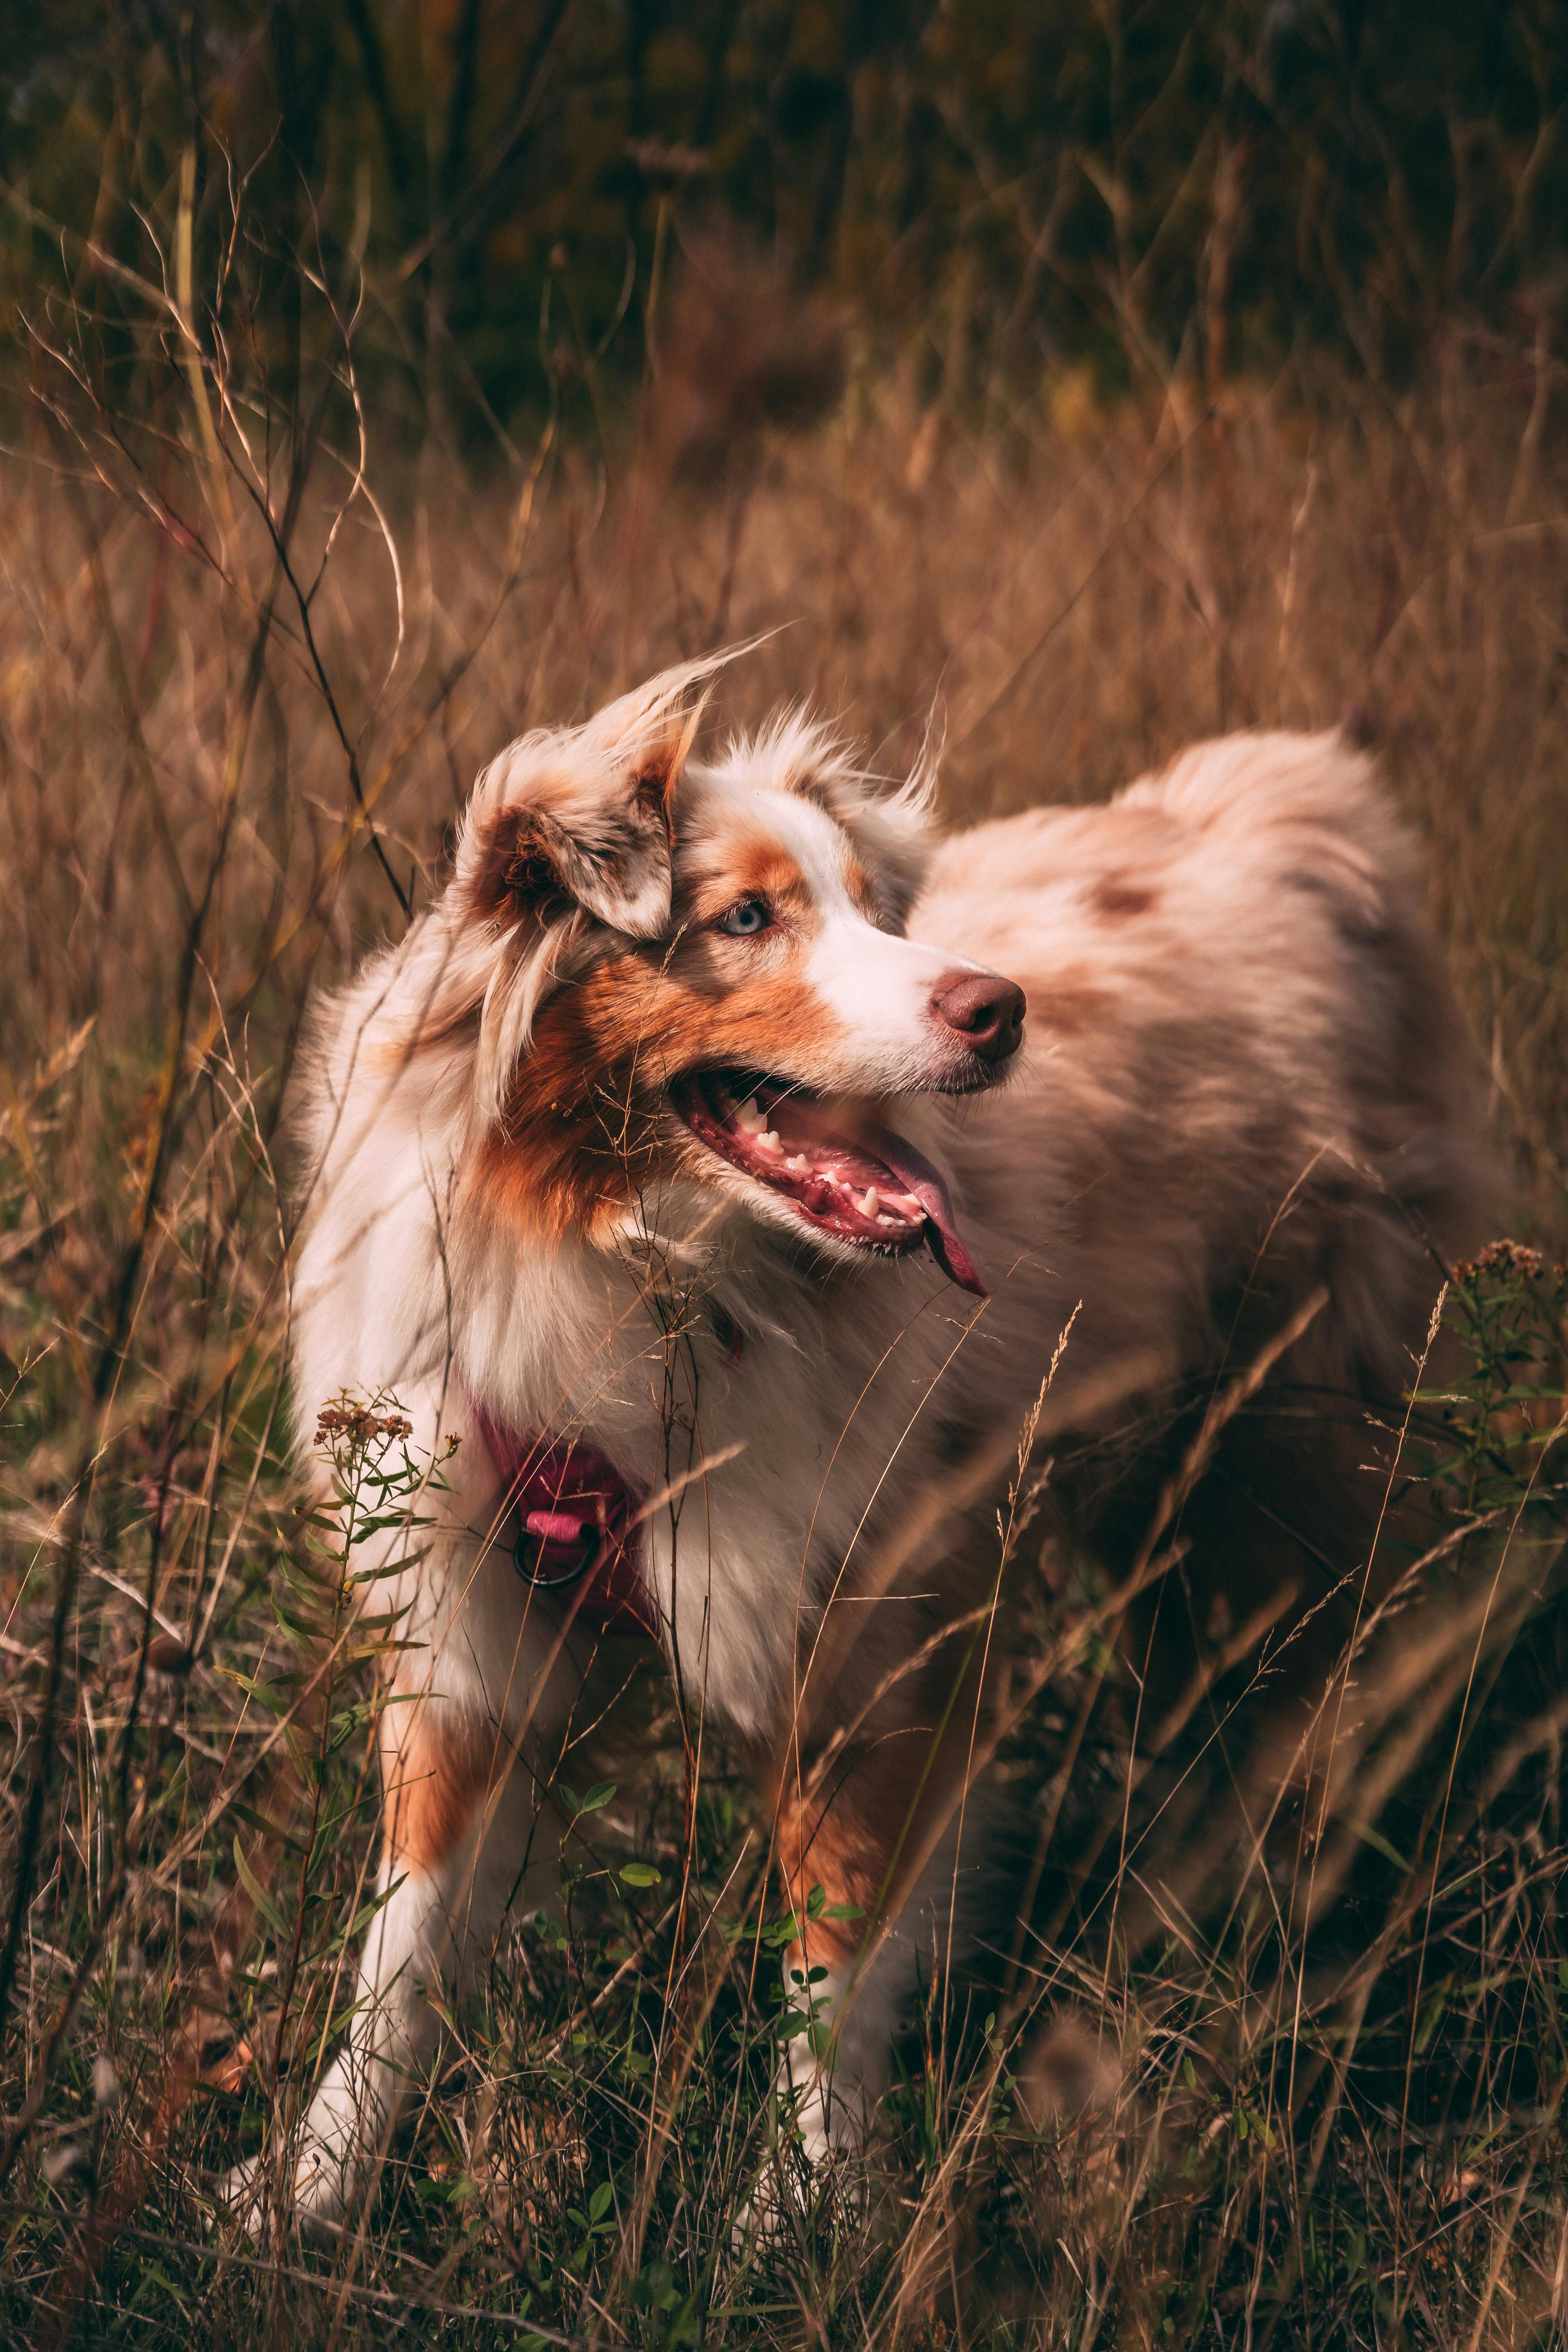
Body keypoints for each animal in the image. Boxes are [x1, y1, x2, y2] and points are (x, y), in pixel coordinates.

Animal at [246, 663, 1486, 2220]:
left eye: (866, 906)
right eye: (743, 919)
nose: (1000, 1010)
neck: (633, 1273)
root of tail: (1277, 808)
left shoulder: (868, 1644)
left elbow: (831, 1967)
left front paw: (795, 2217)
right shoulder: (471, 1638)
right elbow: (399, 1953)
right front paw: (306, 2189)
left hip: (1290, 1456)